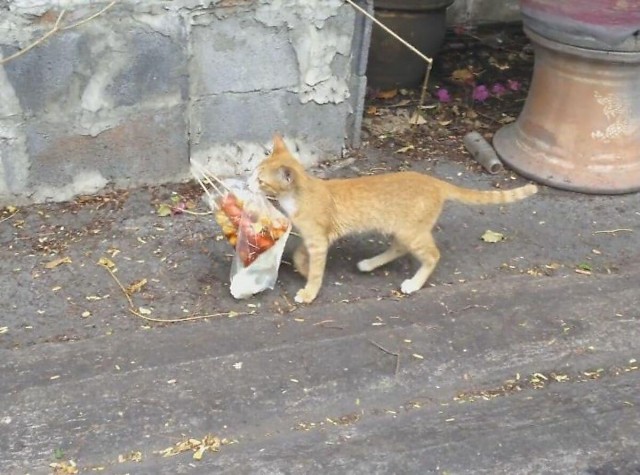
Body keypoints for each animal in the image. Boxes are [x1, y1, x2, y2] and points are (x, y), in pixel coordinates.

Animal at [255, 134, 540, 304]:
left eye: (260, 180)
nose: (249, 181)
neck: (298, 196)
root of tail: (435, 182)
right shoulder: (314, 239)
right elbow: (299, 256)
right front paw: (303, 270)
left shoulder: (319, 240)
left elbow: (315, 269)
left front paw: (309, 291)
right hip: (401, 230)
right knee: (400, 248)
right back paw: (369, 264)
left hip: (412, 232)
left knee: (432, 255)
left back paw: (413, 284)